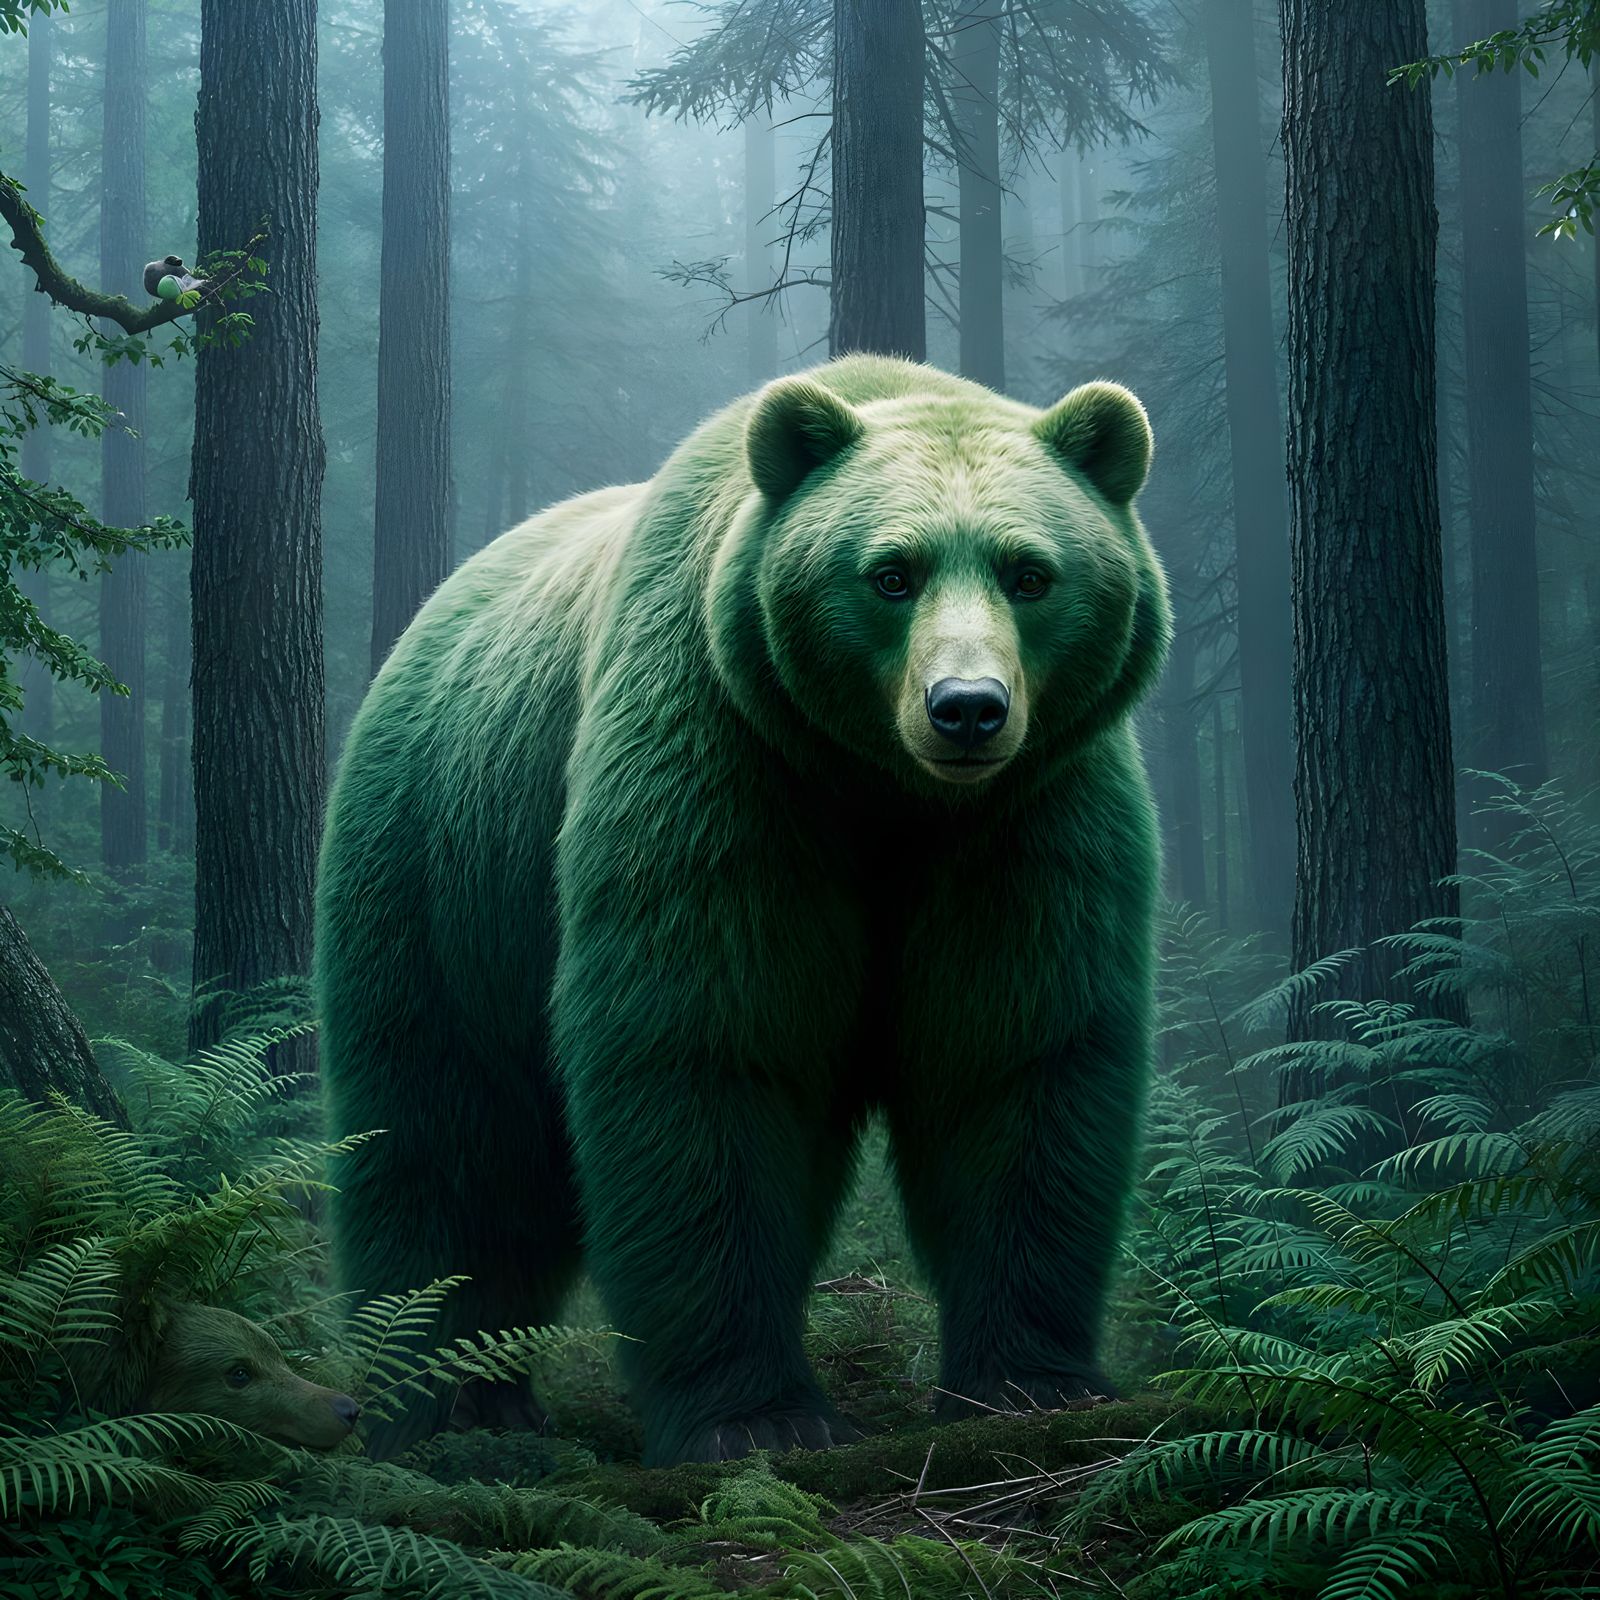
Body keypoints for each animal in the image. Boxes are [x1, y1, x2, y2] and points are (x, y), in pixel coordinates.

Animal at [316, 354, 1171, 1466]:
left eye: (1030, 571)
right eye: (890, 571)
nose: (967, 708)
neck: (883, 793)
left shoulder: (1024, 816)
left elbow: (1014, 1055)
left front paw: (1033, 1381)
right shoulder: (726, 765)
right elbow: (706, 1048)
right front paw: (757, 1417)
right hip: (443, 874)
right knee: (443, 1131)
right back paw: (438, 1400)